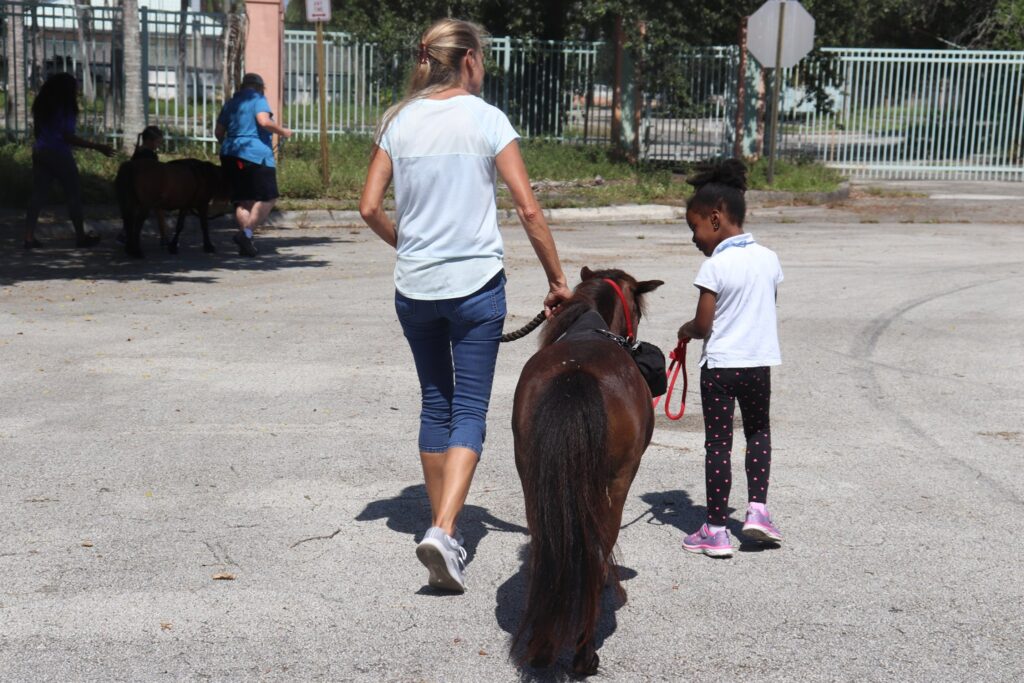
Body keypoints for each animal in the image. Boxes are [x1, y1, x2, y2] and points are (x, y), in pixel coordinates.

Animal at [509, 264, 663, 675]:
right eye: (637, 309)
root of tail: (575, 376)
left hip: (533, 479)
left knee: (549, 548)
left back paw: (544, 648)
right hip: (615, 484)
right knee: (596, 552)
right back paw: (583, 655)